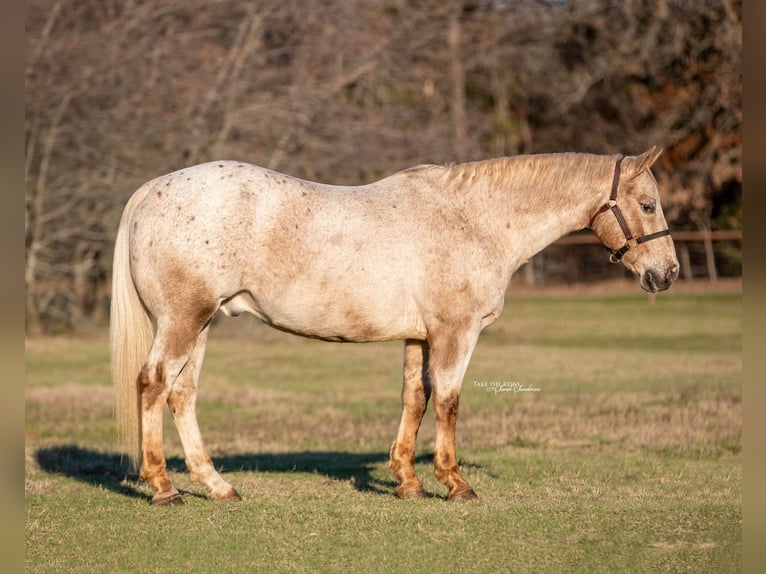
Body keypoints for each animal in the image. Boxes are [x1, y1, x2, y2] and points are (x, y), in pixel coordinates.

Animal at [108, 146, 680, 506]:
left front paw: (408, 482)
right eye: (648, 204)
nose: (668, 273)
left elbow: (415, 398)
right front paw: (455, 483)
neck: (474, 219)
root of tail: (154, 190)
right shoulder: (455, 332)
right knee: (154, 385)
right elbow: (448, 401)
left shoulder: (418, 336)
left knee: (182, 395)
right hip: (183, 322)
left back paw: (217, 486)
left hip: (202, 324)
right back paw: (164, 488)